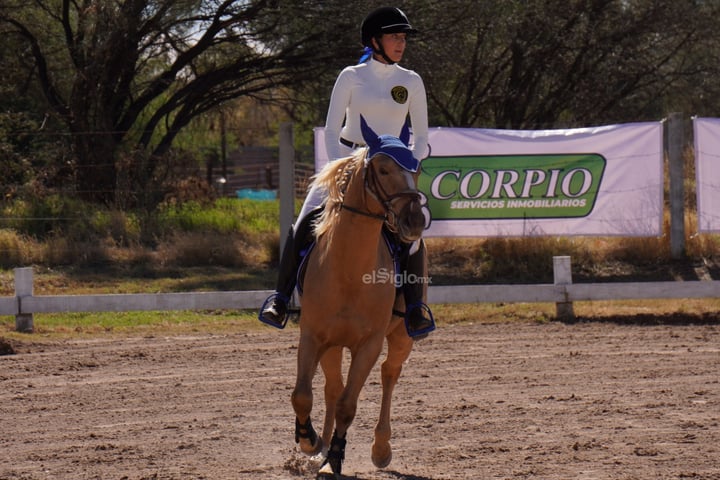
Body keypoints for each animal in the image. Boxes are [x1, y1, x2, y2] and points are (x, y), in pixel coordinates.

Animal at [291, 118, 427, 479]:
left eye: (417, 168)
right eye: (382, 168)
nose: (415, 220)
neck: (349, 269)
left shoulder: (369, 344)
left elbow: (348, 406)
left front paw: (333, 461)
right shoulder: (313, 336)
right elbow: (303, 396)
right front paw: (310, 442)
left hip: (401, 338)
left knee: (389, 374)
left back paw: (380, 449)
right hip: (332, 345)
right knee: (331, 387)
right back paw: (319, 448)